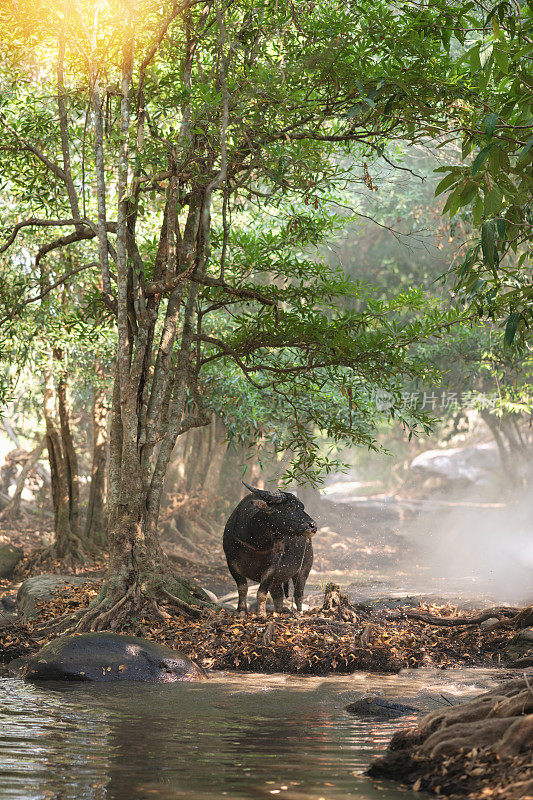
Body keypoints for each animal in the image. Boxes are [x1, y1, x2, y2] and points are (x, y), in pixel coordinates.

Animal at [221, 482, 316, 620]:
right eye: (290, 507)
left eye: (302, 507)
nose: (313, 525)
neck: (254, 542)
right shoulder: (231, 563)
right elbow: (242, 588)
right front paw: (241, 611)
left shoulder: (271, 568)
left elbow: (261, 593)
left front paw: (261, 614)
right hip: (277, 580)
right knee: (278, 595)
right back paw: (278, 612)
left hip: (304, 569)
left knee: (299, 593)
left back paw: (298, 612)